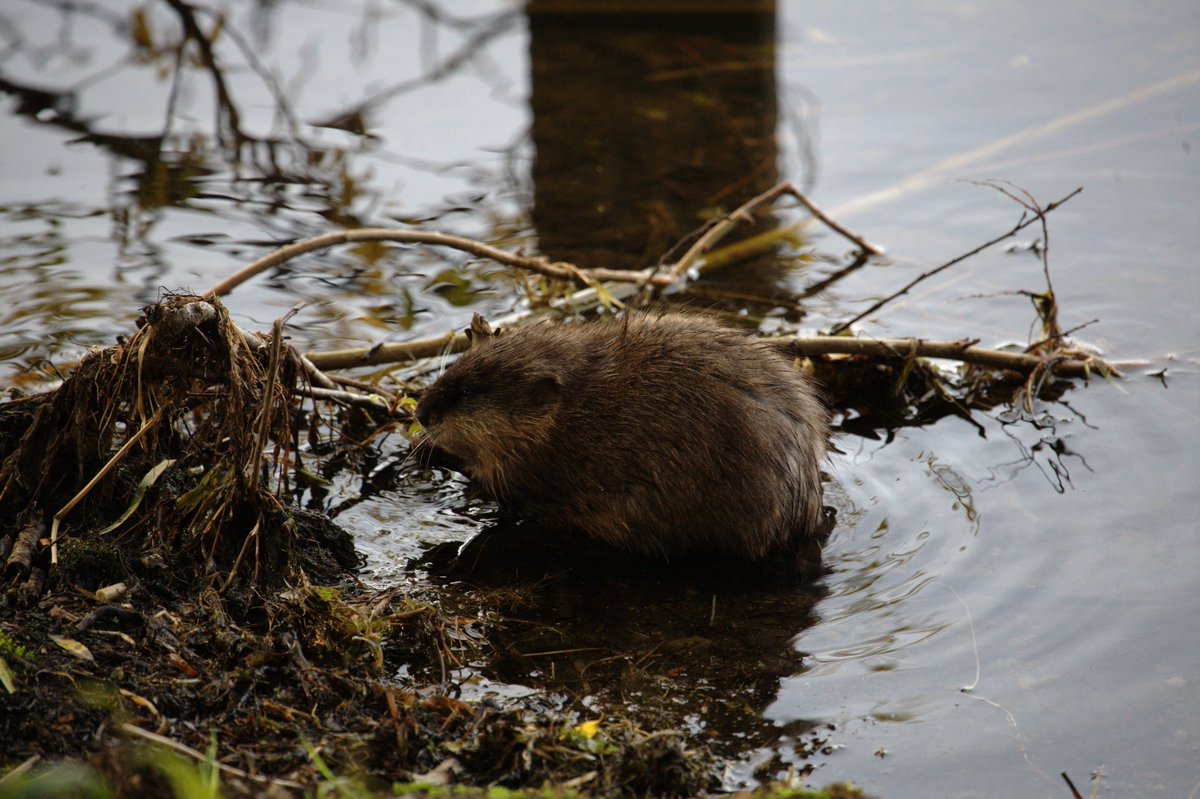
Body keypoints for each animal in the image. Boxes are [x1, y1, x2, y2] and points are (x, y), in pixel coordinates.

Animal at [412, 311, 825, 566]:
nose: (420, 412)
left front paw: (427, 452)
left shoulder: (538, 468)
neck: (572, 407)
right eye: (454, 371)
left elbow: (500, 492)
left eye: (465, 393)